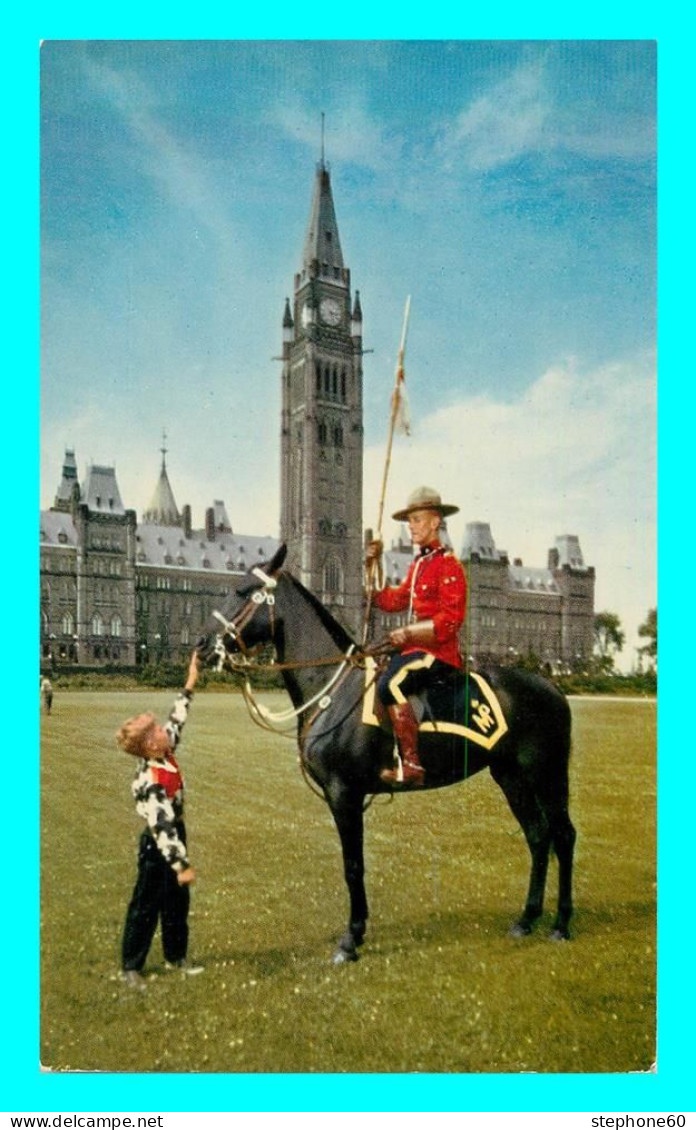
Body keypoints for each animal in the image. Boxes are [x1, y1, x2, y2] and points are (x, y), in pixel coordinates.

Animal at [199, 544, 576, 962]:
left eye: (244, 590)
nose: (202, 645)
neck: (334, 690)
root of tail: (554, 687)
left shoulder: (344, 793)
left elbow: (353, 866)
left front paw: (351, 939)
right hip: (511, 776)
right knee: (538, 836)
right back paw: (527, 919)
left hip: (546, 774)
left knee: (563, 836)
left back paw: (561, 924)